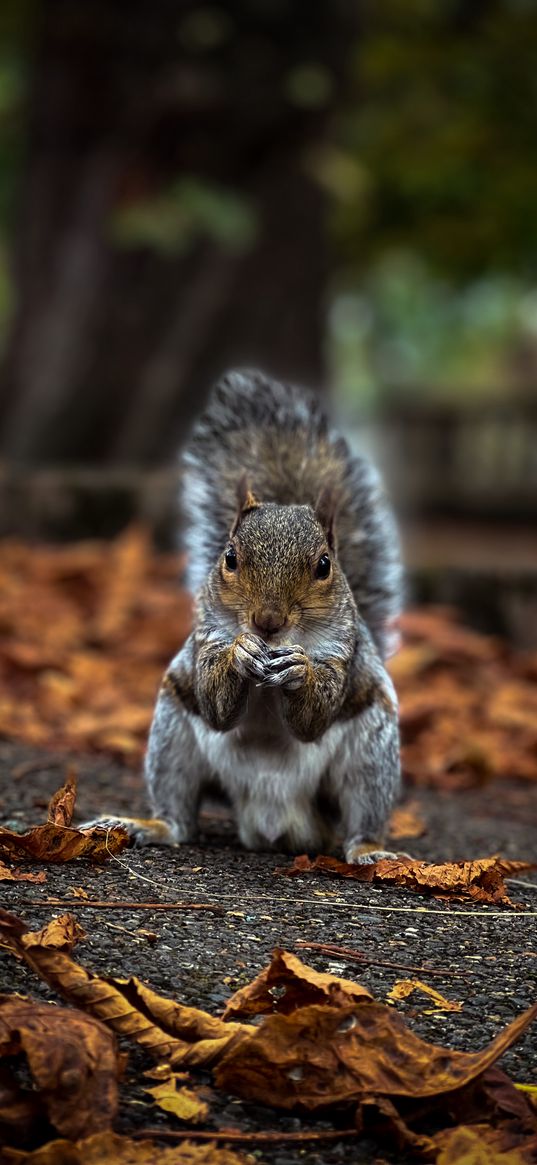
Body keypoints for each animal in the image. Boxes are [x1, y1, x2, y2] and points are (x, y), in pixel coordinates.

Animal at [85, 368, 400, 862]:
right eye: (230, 557)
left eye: (324, 565)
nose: (267, 622)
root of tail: (273, 820)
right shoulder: (206, 636)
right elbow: (217, 705)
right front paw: (241, 654)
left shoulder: (342, 652)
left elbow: (314, 718)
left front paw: (299, 669)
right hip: (173, 735)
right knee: (180, 818)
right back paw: (140, 824)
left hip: (371, 754)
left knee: (360, 818)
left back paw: (369, 850)